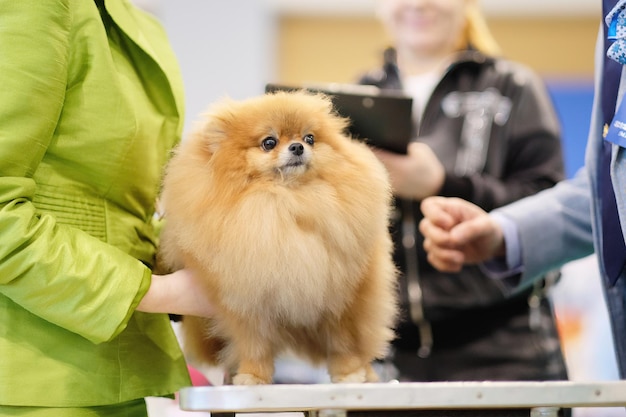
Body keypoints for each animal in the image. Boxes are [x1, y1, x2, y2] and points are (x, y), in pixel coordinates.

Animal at [158, 90, 398, 384]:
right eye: (269, 143)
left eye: (309, 138)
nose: (297, 147)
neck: (285, 201)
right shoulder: (245, 302)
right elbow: (254, 345)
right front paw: (253, 376)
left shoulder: (341, 296)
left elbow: (344, 342)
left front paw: (350, 373)